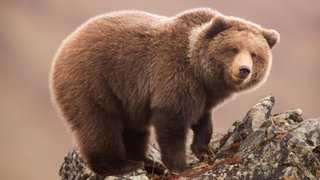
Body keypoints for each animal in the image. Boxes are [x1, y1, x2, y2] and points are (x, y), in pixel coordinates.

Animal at [48, 8, 278, 176]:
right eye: (233, 49)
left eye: (255, 54)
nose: (244, 69)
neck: (200, 71)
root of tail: (65, 45)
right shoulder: (174, 76)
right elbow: (172, 122)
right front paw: (180, 165)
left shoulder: (203, 94)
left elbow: (203, 121)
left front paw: (204, 150)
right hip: (93, 83)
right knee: (99, 126)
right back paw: (122, 165)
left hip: (127, 99)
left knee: (134, 131)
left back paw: (148, 163)